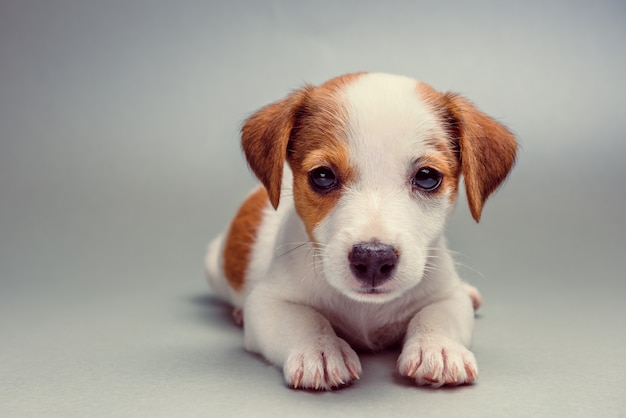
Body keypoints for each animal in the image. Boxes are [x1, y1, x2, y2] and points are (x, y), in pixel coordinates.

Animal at [205, 72, 516, 388]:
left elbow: (438, 314)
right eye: (322, 176)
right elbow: (304, 320)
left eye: (428, 177)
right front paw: (319, 349)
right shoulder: (267, 302)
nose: (373, 259)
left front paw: (437, 347)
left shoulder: (447, 296)